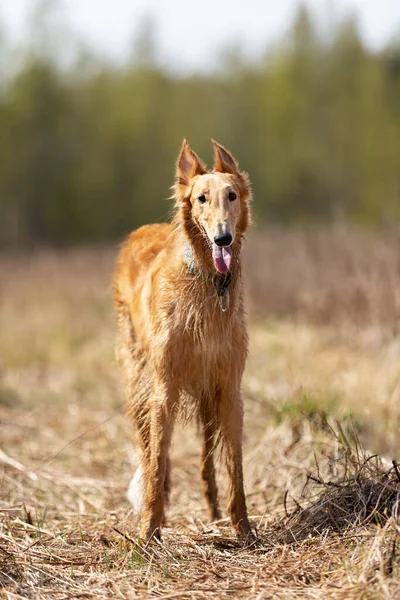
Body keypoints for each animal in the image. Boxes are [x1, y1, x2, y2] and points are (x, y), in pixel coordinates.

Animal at [113, 141, 253, 544]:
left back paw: (212, 509)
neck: (209, 283)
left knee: (206, 460)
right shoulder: (164, 389)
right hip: (139, 383)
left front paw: (244, 530)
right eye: (201, 198)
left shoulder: (228, 387)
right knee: (148, 449)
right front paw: (149, 529)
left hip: (207, 399)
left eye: (231, 195)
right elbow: (158, 460)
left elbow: (234, 466)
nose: (222, 238)